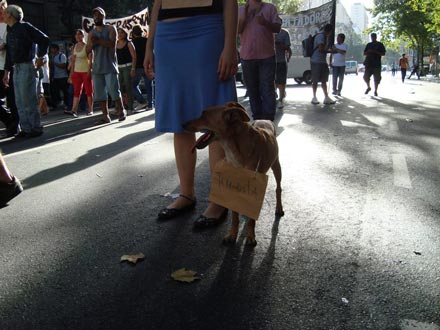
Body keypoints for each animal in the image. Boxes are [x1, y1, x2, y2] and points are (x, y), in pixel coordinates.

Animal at [183, 102, 284, 246]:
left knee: (278, 189)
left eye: (204, 114)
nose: (182, 124)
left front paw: (250, 236)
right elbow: (234, 217)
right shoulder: (233, 188)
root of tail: (264, 119)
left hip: (276, 166)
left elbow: (251, 220)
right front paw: (232, 234)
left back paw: (279, 208)